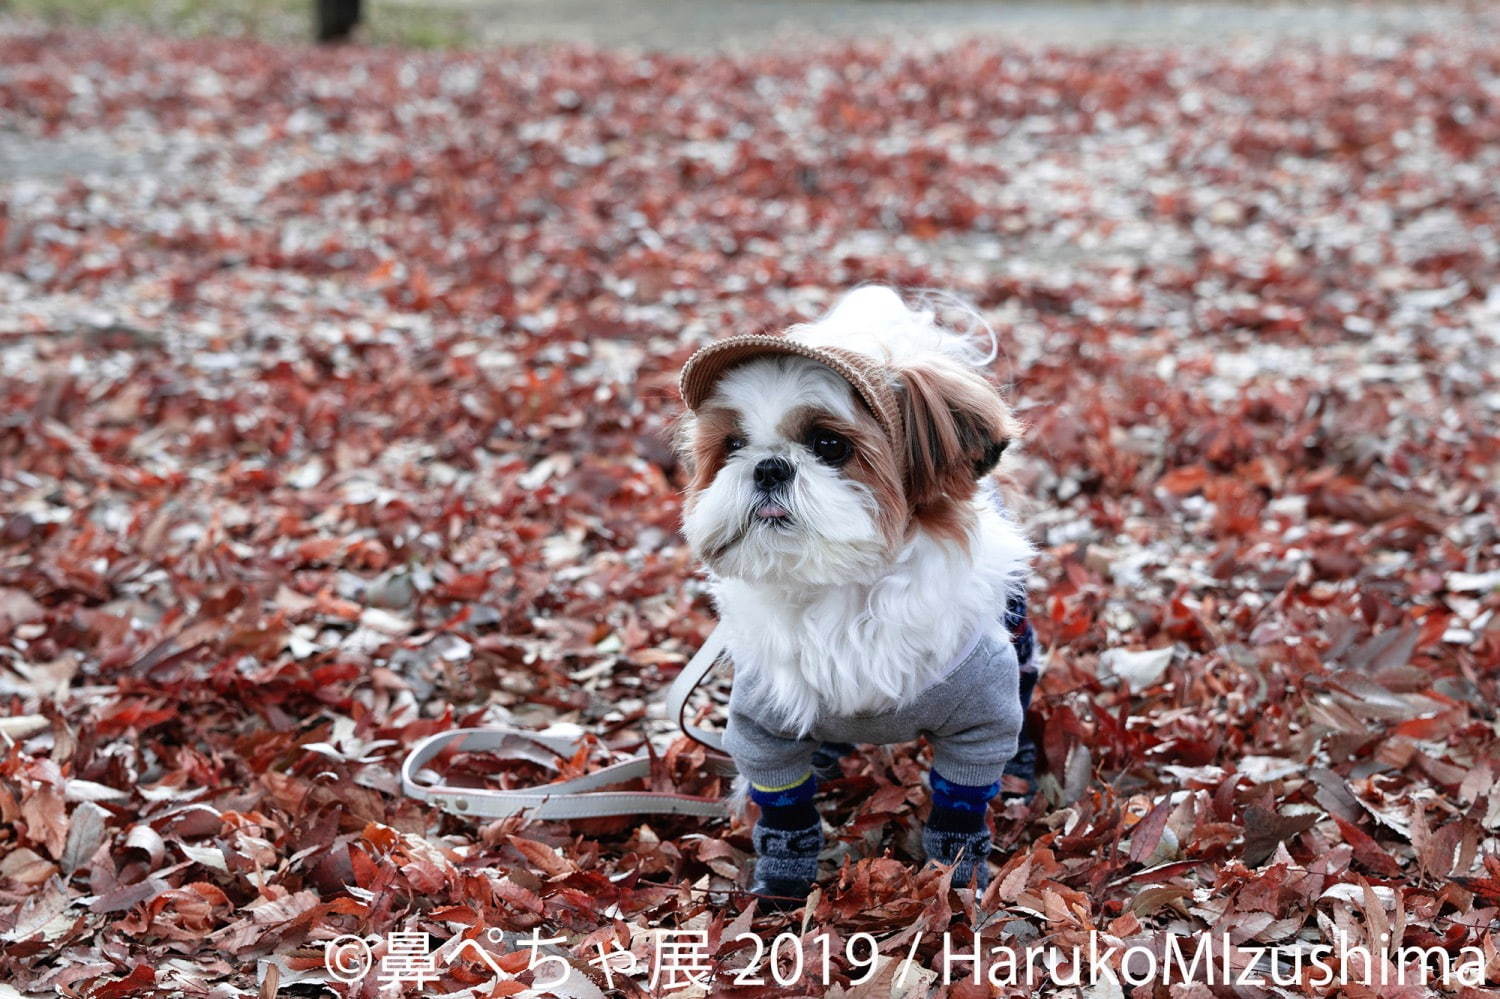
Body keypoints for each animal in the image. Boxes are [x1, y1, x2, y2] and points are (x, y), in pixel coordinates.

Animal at [675, 283, 1038, 906]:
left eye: (829, 445)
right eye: (734, 445)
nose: (769, 467)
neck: (841, 589)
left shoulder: (979, 722)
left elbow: (961, 808)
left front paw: (959, 875)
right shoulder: (764, 724)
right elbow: (786, 811)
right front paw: (781, 881)